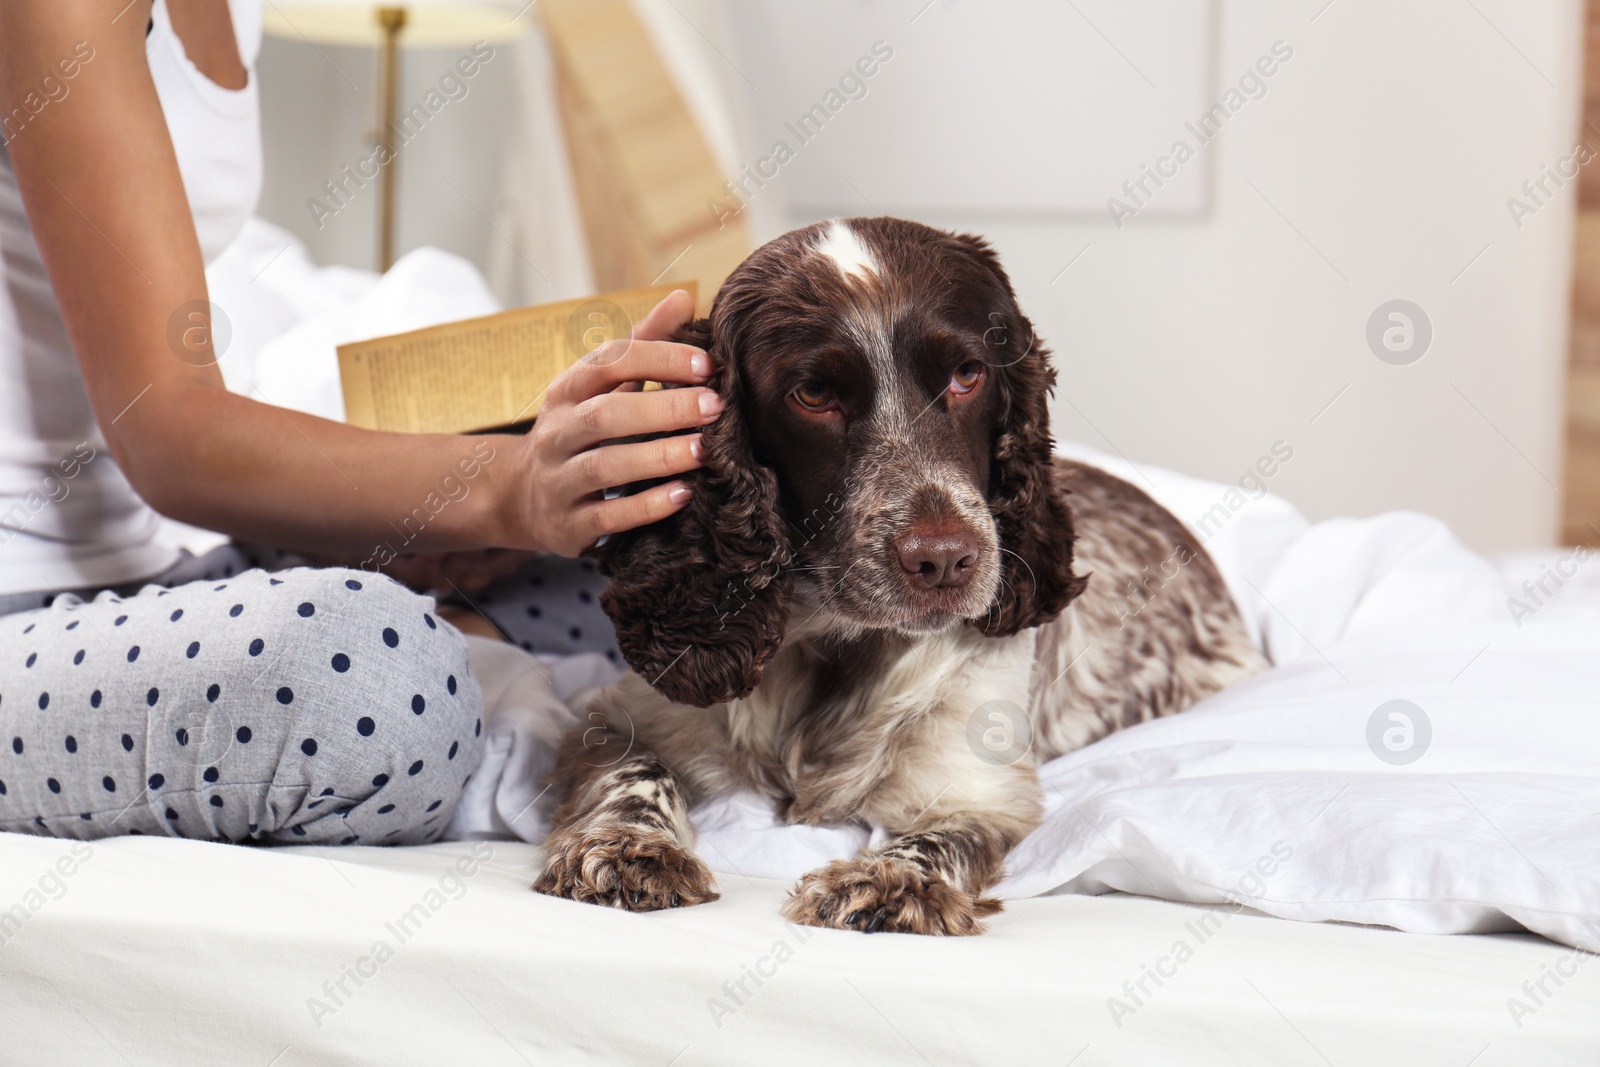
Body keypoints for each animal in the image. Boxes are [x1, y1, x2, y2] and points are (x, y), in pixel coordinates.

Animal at [534, 217, 1260, 934]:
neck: (835, 645)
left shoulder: (980, 787)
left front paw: (891, 880)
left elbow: (945, 836)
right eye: (814, 394)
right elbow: (636, 768)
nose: (943, 560)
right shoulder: (627, 716)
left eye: (967, 374)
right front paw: (628, 845)